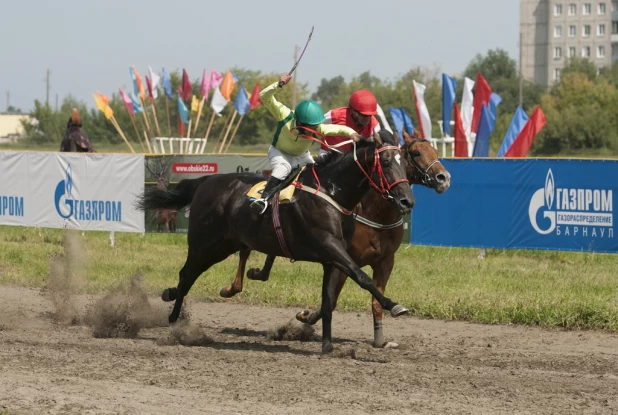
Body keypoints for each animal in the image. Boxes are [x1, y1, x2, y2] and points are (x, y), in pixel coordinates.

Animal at [136, 131, 414, 354]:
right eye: (386, 162)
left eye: (404, 162)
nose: (407, 201)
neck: (331, 192)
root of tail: (208, 181)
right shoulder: (330, 246)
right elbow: (362, 277)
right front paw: (394, 305)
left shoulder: (332, 258)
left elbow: (328, 300)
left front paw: (327, 345)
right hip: (205, 245)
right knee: (186, 275)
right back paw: (174, 319)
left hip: (226, 244)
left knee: (187, 275)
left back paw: (170, 297)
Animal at [219, 129, 450, 348]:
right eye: (416, 153)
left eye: (435, 151)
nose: (444, 178)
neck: (374, 214)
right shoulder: (342, 258)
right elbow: (332, 300)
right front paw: (306, 317)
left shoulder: (385, 261)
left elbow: (374, 301)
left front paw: (380, 340)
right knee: (245, 251)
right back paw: (232, 287)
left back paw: (257, 273)